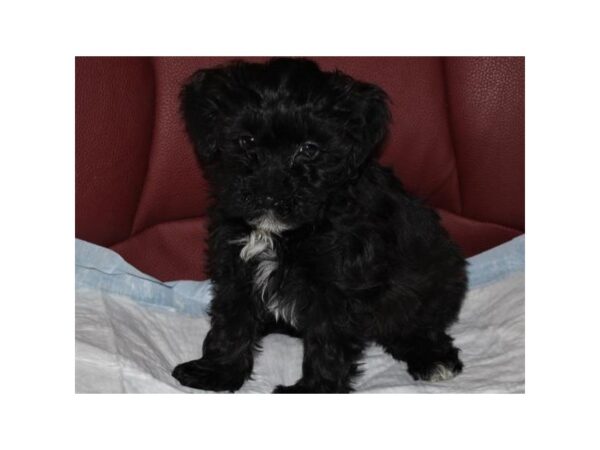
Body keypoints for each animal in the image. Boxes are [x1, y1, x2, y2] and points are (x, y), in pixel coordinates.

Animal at [171, 58, 466, 392]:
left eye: (309, 149)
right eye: (246, 141)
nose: (269, 195)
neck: (283, 233)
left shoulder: (337, 283)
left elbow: (328, 339)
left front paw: (315, 389)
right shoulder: (235, 264)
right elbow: (232, 319)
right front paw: (218, 370)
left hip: (431, 279)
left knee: (413, 322)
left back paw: (432, 357)